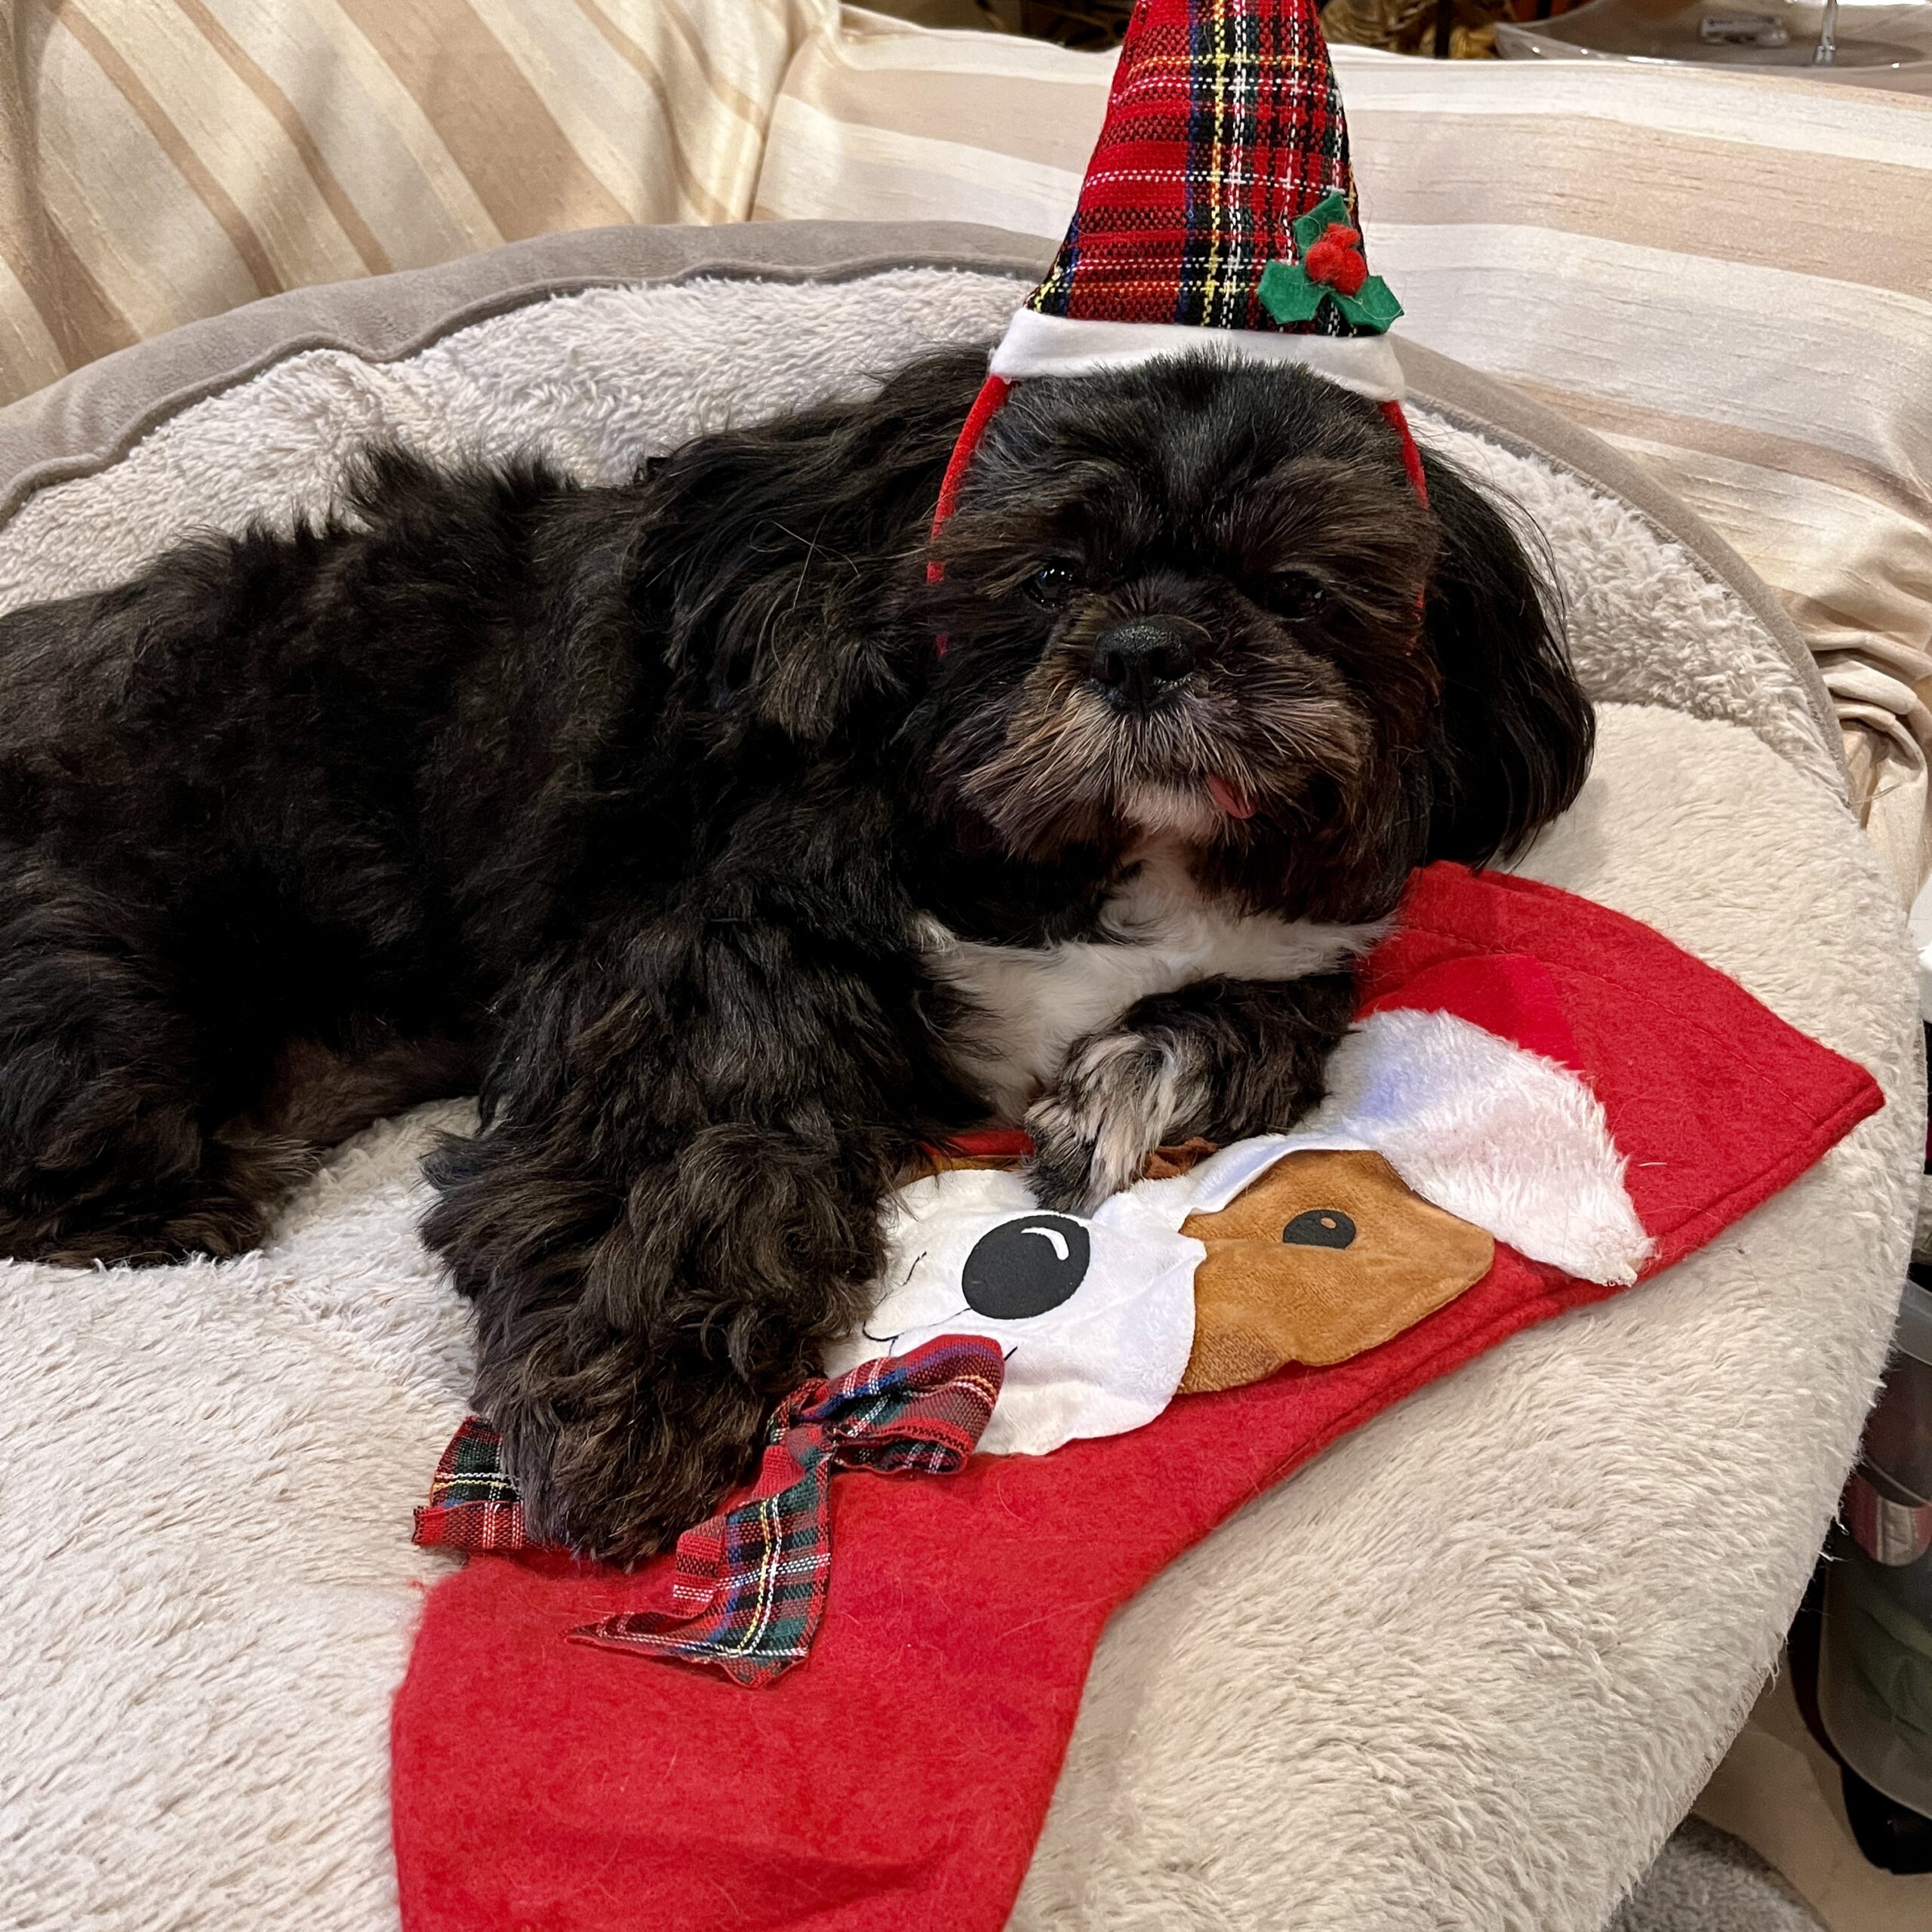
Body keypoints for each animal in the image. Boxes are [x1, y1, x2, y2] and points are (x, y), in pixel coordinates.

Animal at [0, 347, 1592, 1553]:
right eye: (1040, 572)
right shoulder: (692, 963)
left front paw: (1124, 1091)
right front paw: (634, 1416)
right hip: (109, 995)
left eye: (1300, 587)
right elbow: (701, 1144)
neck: (1073, 857)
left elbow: (1262, 1011)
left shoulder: (1292, 940)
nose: (1148, 649)